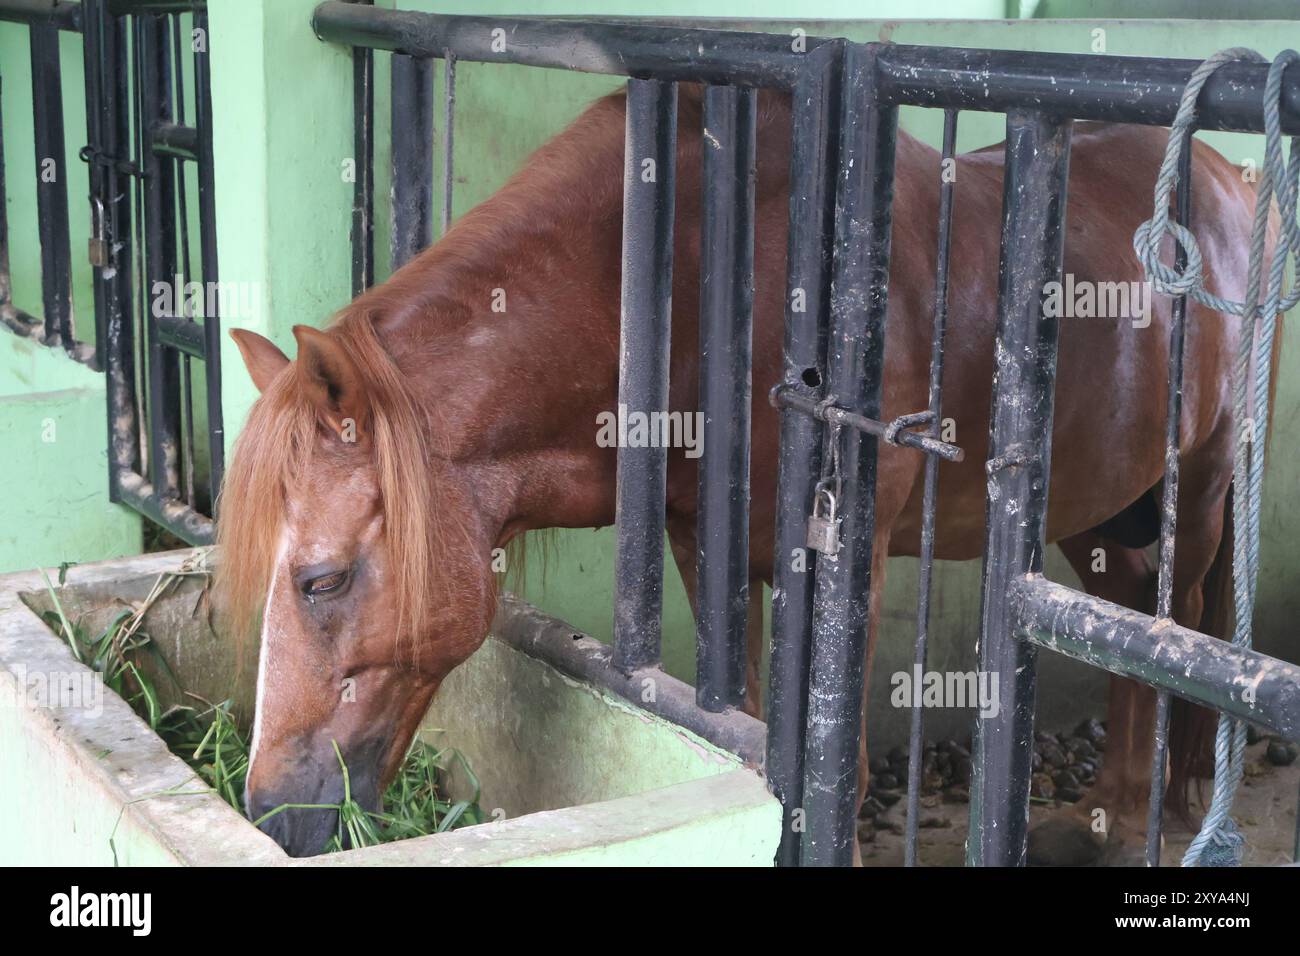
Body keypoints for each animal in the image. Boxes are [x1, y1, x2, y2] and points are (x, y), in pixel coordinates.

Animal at [217, 83, 1265, 862]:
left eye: (321, 580)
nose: (267, 809)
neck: (710, 293)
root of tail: (1227, 177)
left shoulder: (849, 562)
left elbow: (833, 769)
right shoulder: (705, 551)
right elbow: (757, 734)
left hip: (1202, 485)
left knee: (1179, 626)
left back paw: (1141, 815)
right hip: (1094, 503)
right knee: (1122, 612)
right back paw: (1110, 811)